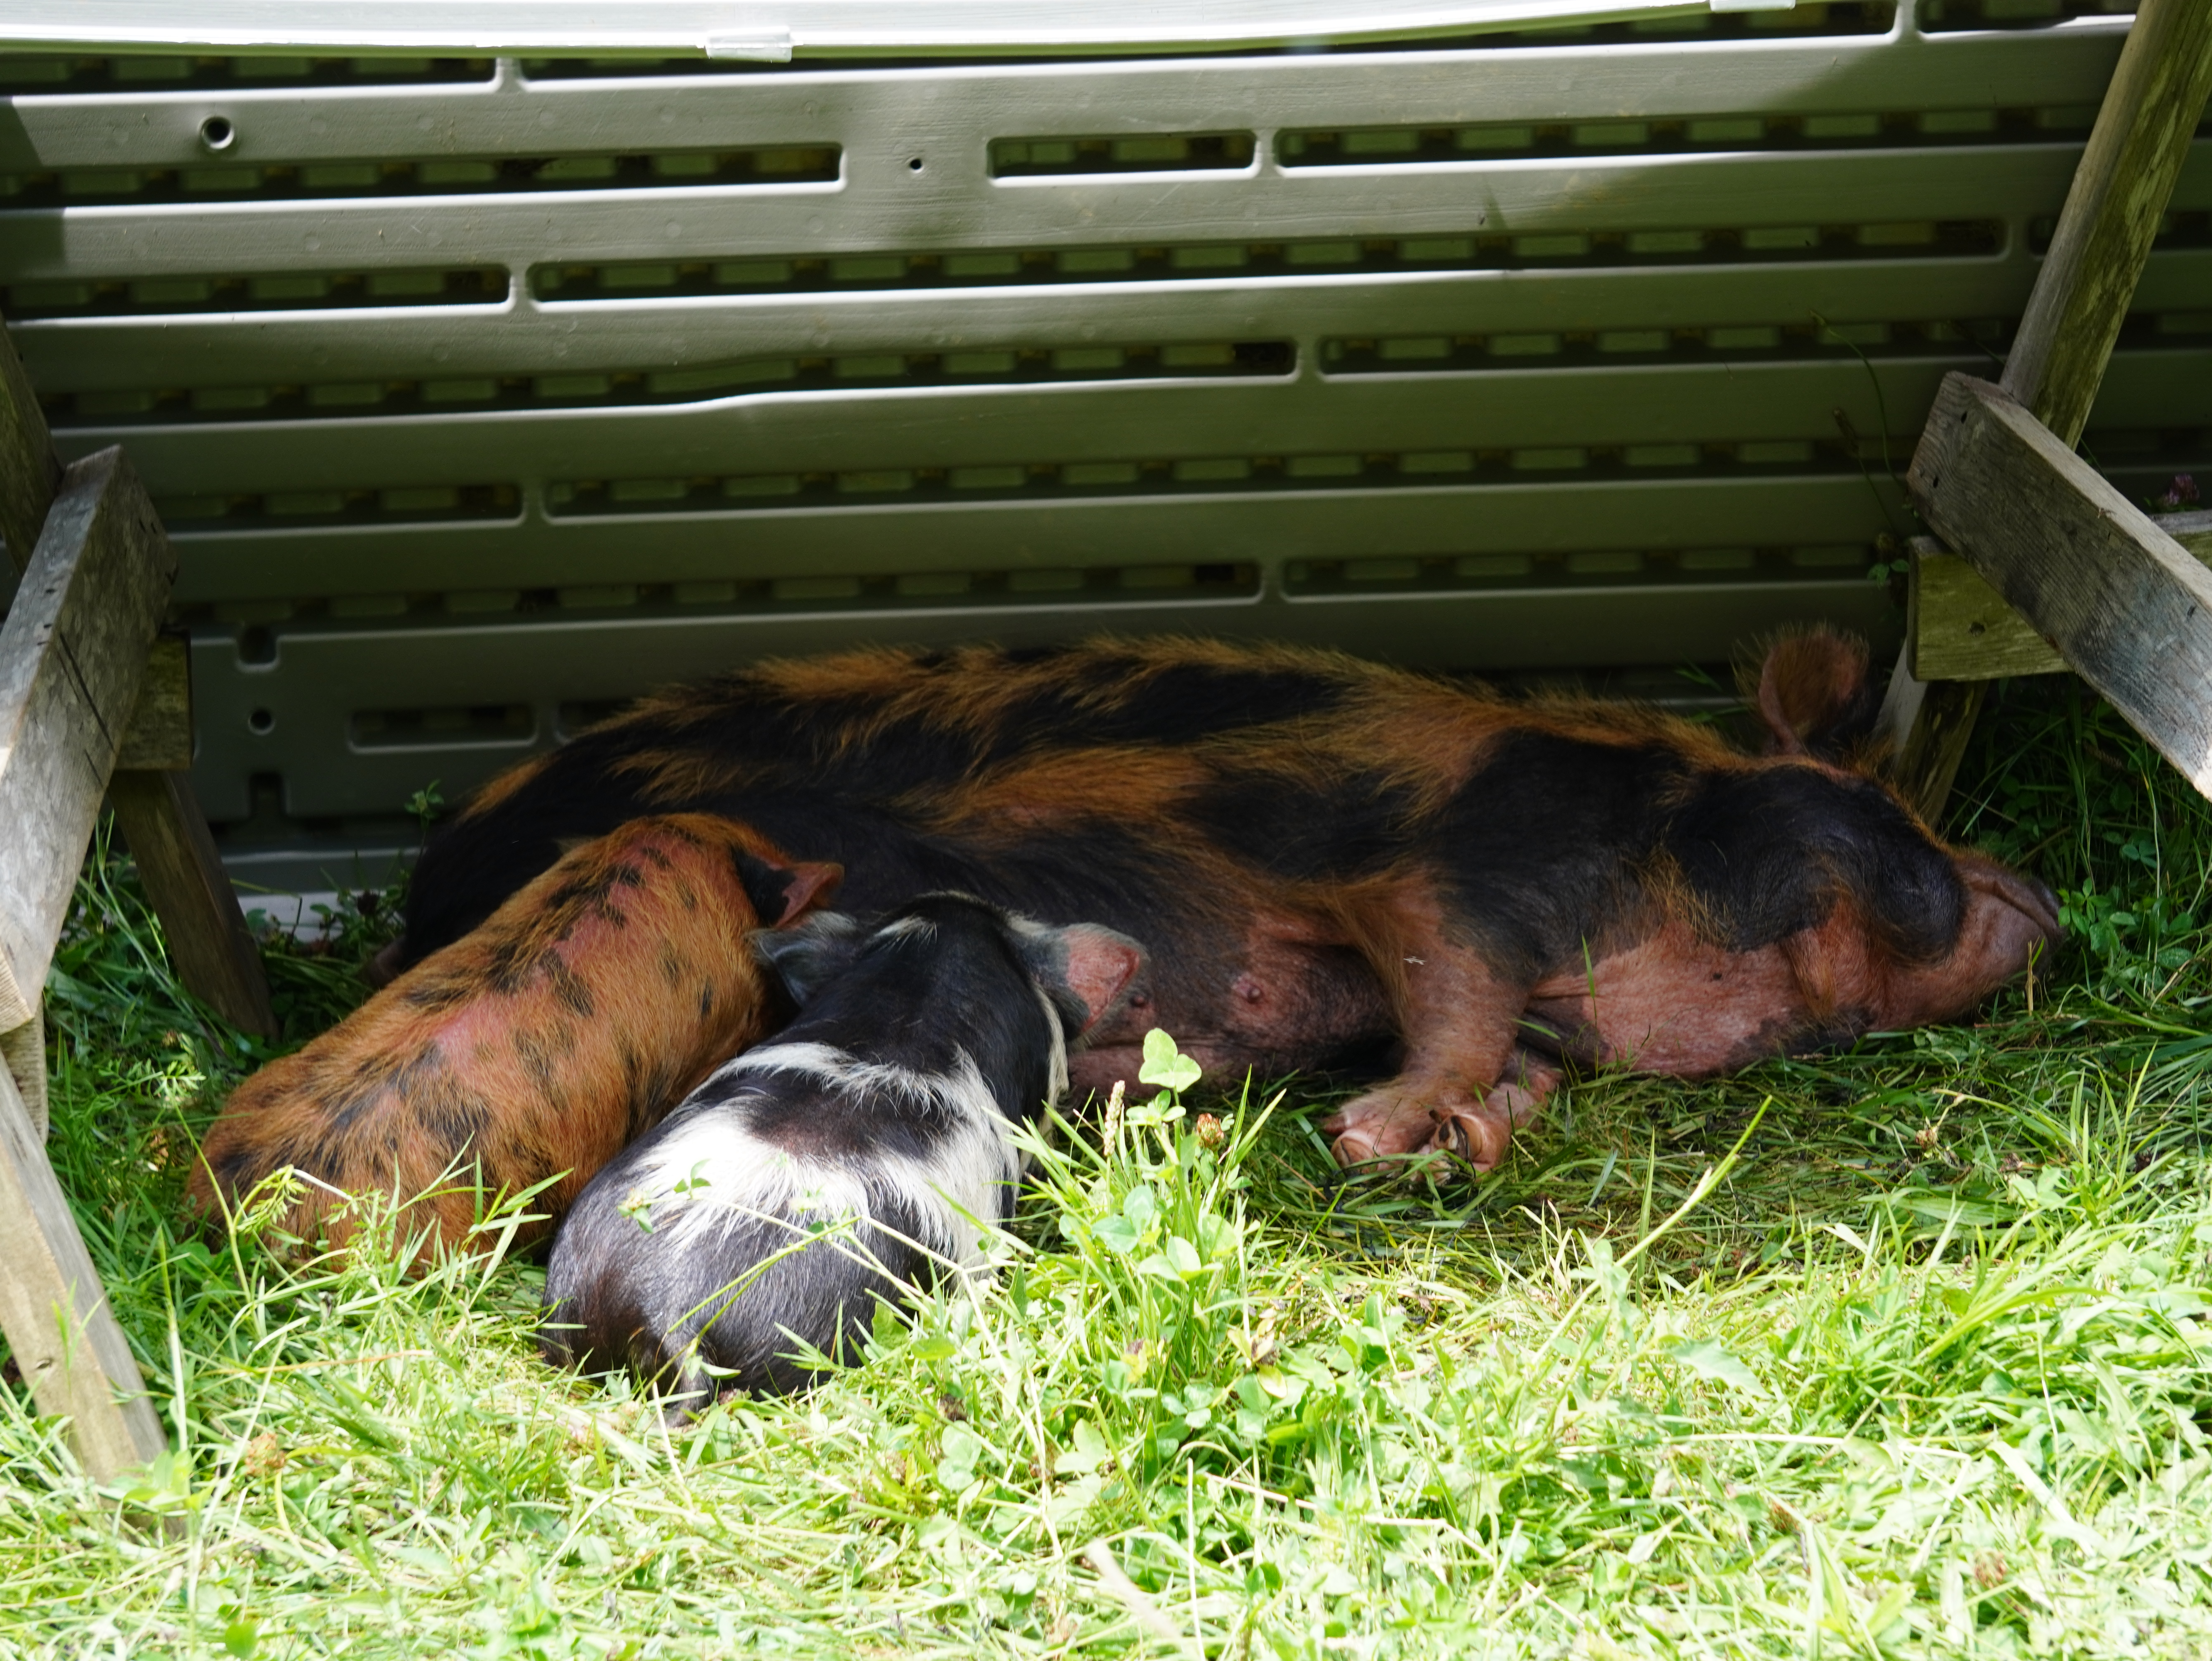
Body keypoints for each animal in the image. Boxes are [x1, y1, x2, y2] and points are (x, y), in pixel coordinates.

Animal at [376, 628, 2057, 1176]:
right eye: (1896, 818)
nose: (2042, 894)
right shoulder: (1447, 875)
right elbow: (1455, 992)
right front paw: (1374, 1137)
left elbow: (1511, 1065)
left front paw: (1457, 1144)